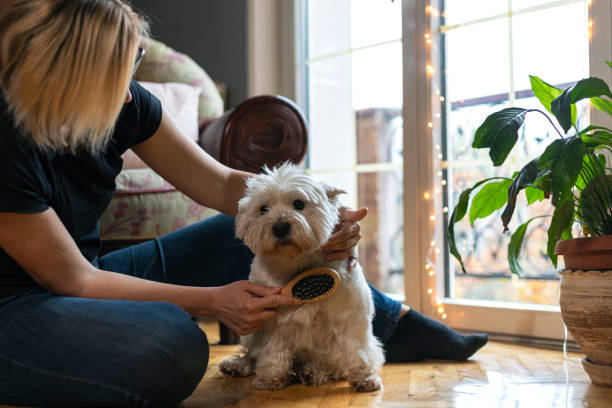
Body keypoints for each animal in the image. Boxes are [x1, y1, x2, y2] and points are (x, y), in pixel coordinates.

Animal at [219, 162, 382, 392]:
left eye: (299, 204)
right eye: (263, 209)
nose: (280, 227)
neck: (297, 264)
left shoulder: (349, 316)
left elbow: (357, 348)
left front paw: (365, 377)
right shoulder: (270, 320)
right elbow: (272, 350)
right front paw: (270, 378)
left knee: (330, 365)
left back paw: (312, 372)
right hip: (251, 334)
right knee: (252, 353)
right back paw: (236, 366)